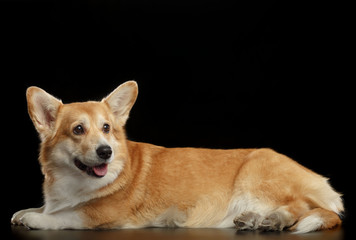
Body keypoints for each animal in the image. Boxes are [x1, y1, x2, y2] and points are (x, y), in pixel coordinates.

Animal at [11, 80, 344, 232]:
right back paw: (253, 219)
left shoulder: (103, 215)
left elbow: (66, 216)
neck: (73, 181)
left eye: (106, 128)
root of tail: (317, 178)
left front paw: (35, 218)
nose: (105, 151)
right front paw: (29, 210)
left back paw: (274, 219)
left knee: (305, 207)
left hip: (256, 174)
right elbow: (49, 208)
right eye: (78, 130)